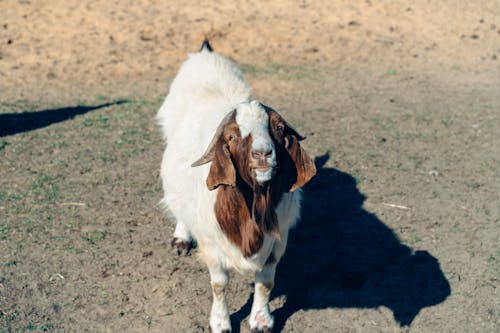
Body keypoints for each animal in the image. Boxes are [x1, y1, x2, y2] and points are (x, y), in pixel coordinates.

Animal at [156, 40, 314, 332]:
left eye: (278, 128)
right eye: (231, 136)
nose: (263, 154)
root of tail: (205, 55)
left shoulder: (278, 241)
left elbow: (266, 282)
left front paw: (261, 320)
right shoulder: (212, 246)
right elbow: (219, 284)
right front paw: (220, 322)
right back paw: (181, 237)